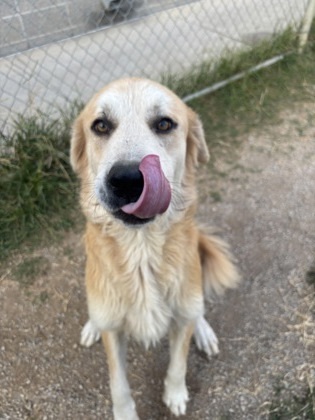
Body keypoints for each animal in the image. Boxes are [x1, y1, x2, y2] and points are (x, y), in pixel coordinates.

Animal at [71, 77, 239, 418]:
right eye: (100, 125)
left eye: (164, 124)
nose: (126, 180)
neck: (141, 252)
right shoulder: (114, 335)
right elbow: (118, 382)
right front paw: (125, 412)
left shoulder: (181, 320)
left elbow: (178, 363)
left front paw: (175, 395)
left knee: (197, 309)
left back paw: (204, 331)